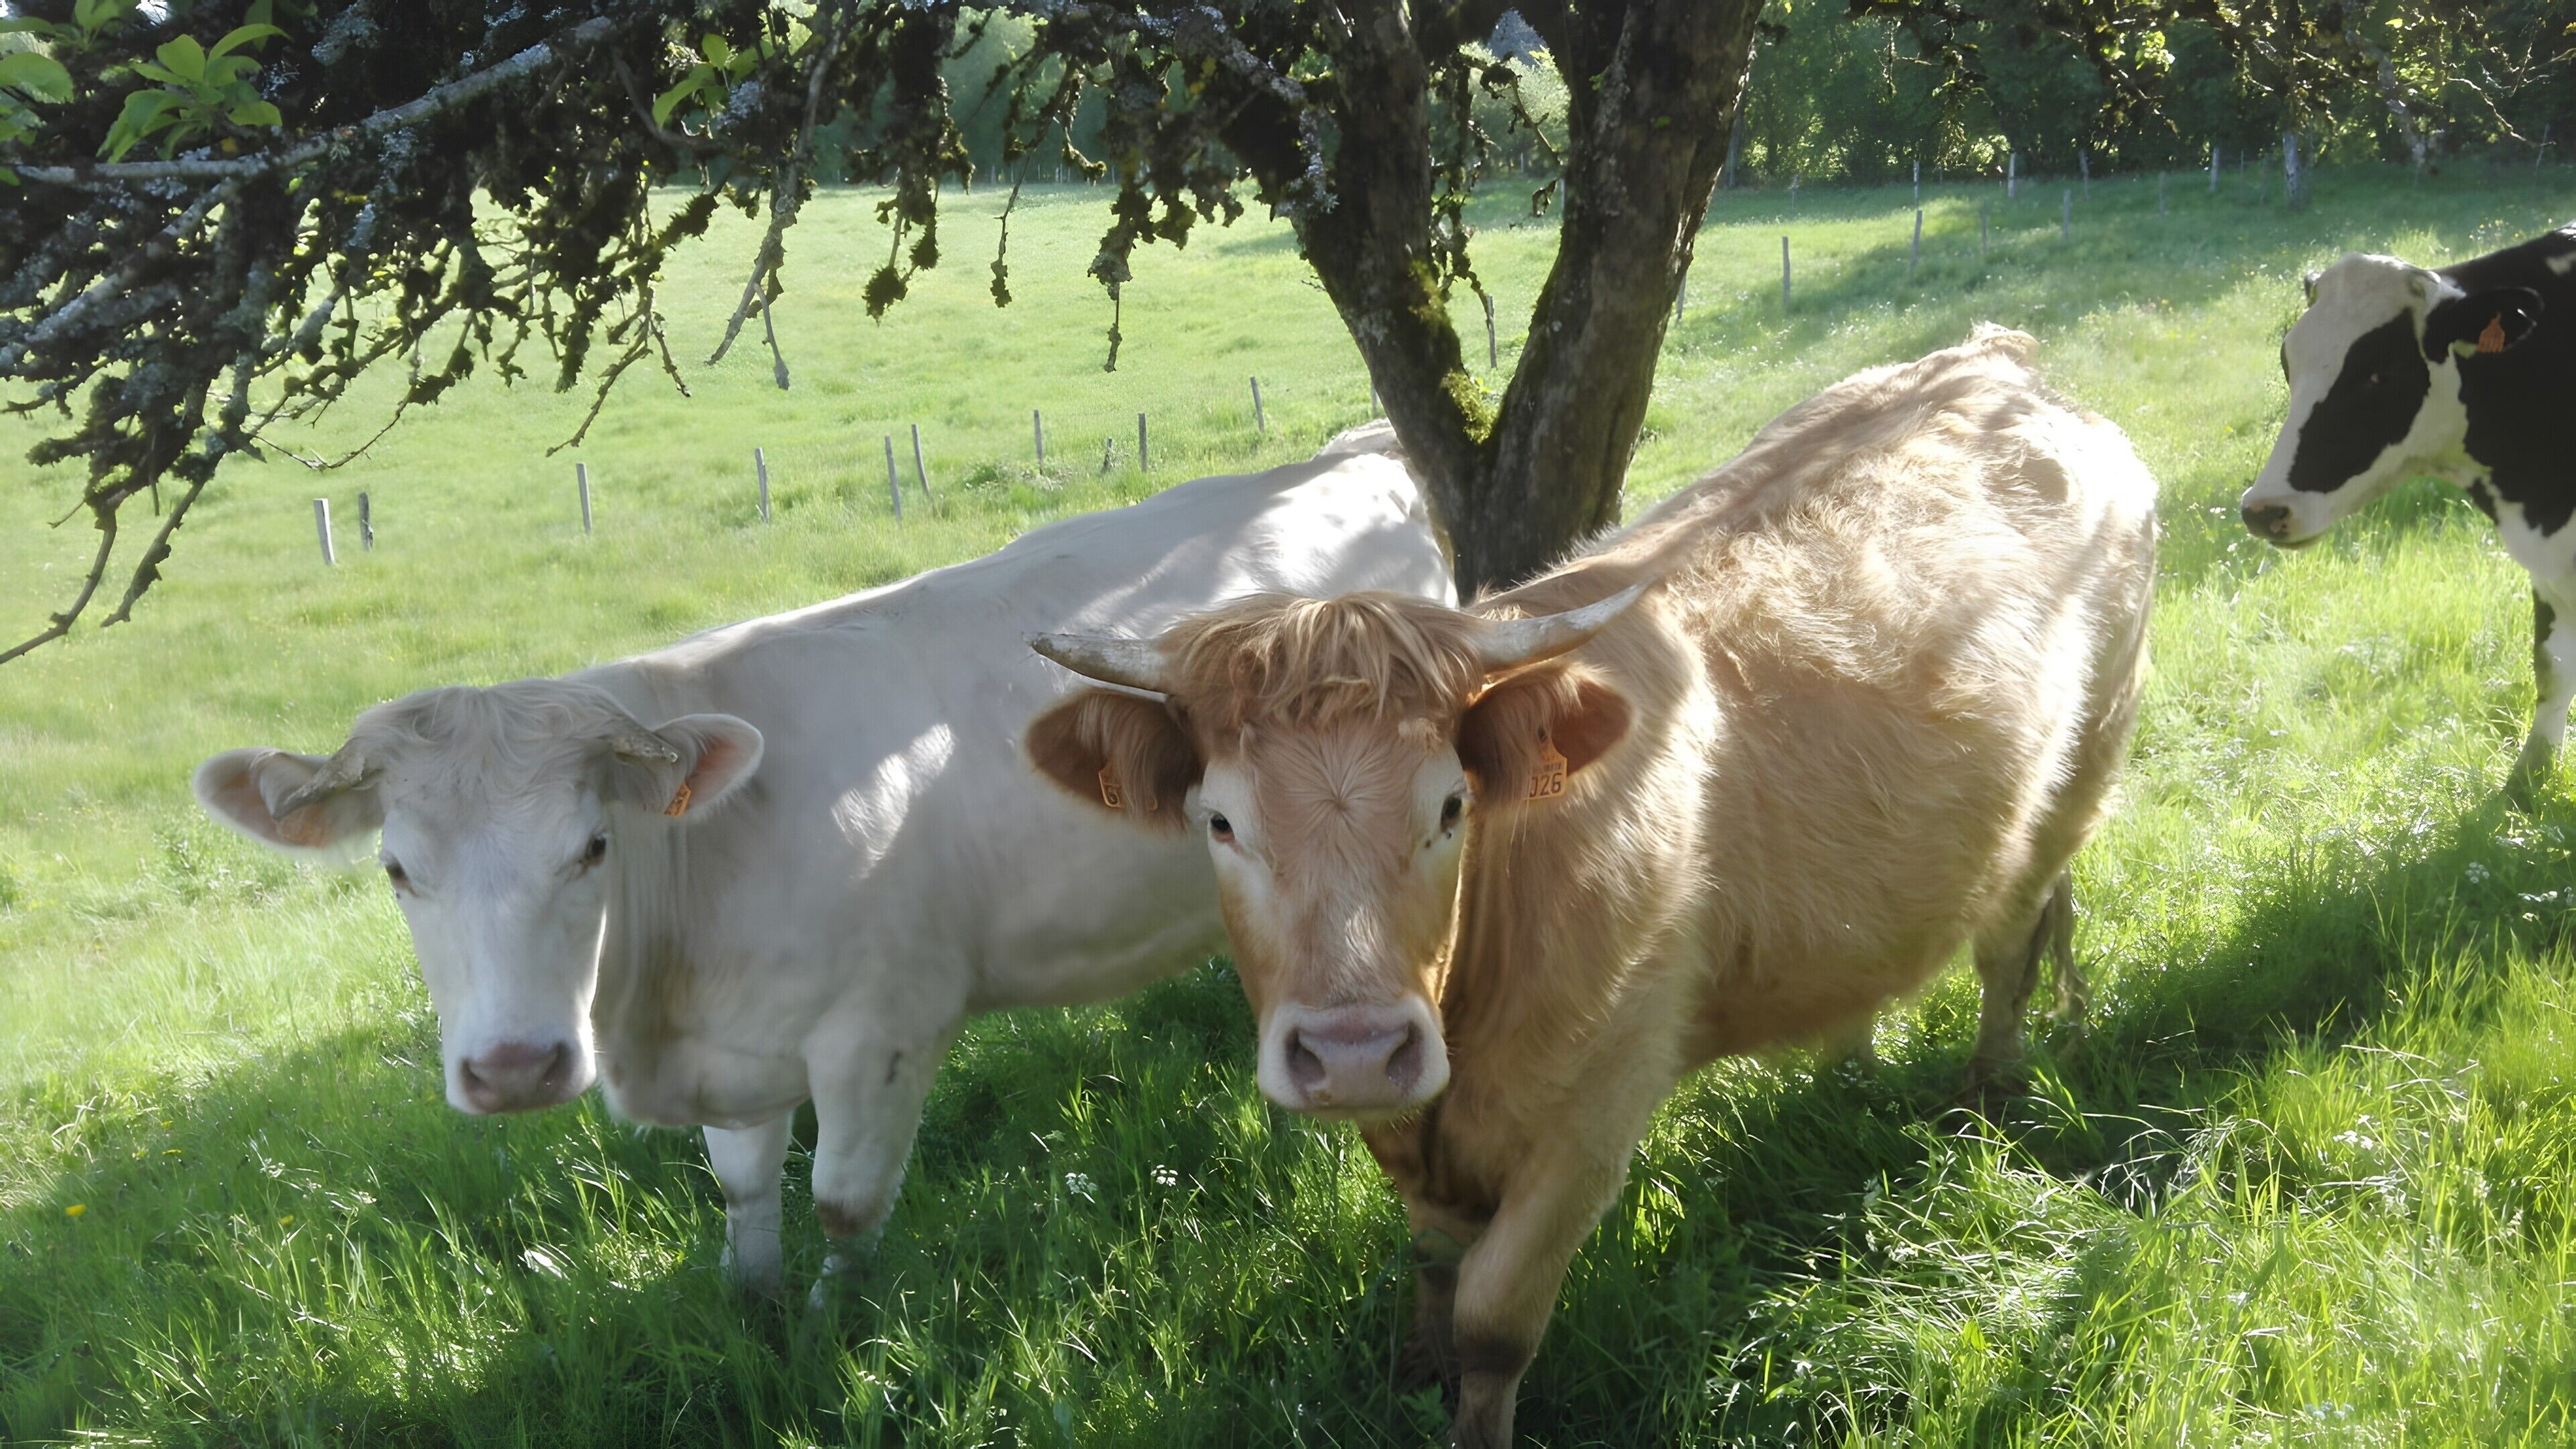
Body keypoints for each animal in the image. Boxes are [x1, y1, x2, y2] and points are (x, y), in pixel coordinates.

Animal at [192, 426, 1453, 1300]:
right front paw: (755, 1314)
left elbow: (845, 1208)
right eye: (398, 871)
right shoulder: (736, 1054)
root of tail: (1353, 452)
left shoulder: (882, 1031)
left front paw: (839, 1327)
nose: (514, 1069)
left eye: (591, 847)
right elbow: (746, 1199)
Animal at [1025, 330, 2157, 1447]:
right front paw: (1418, 1371)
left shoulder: (1593, 1119)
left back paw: (1985, 1108)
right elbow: (1435, 1268)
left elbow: (1493, 1319)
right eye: (1221, 823)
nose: (1353, 1053)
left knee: (2011, 946)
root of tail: (1993, 359)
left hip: (2081, 772)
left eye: (1451, 808)